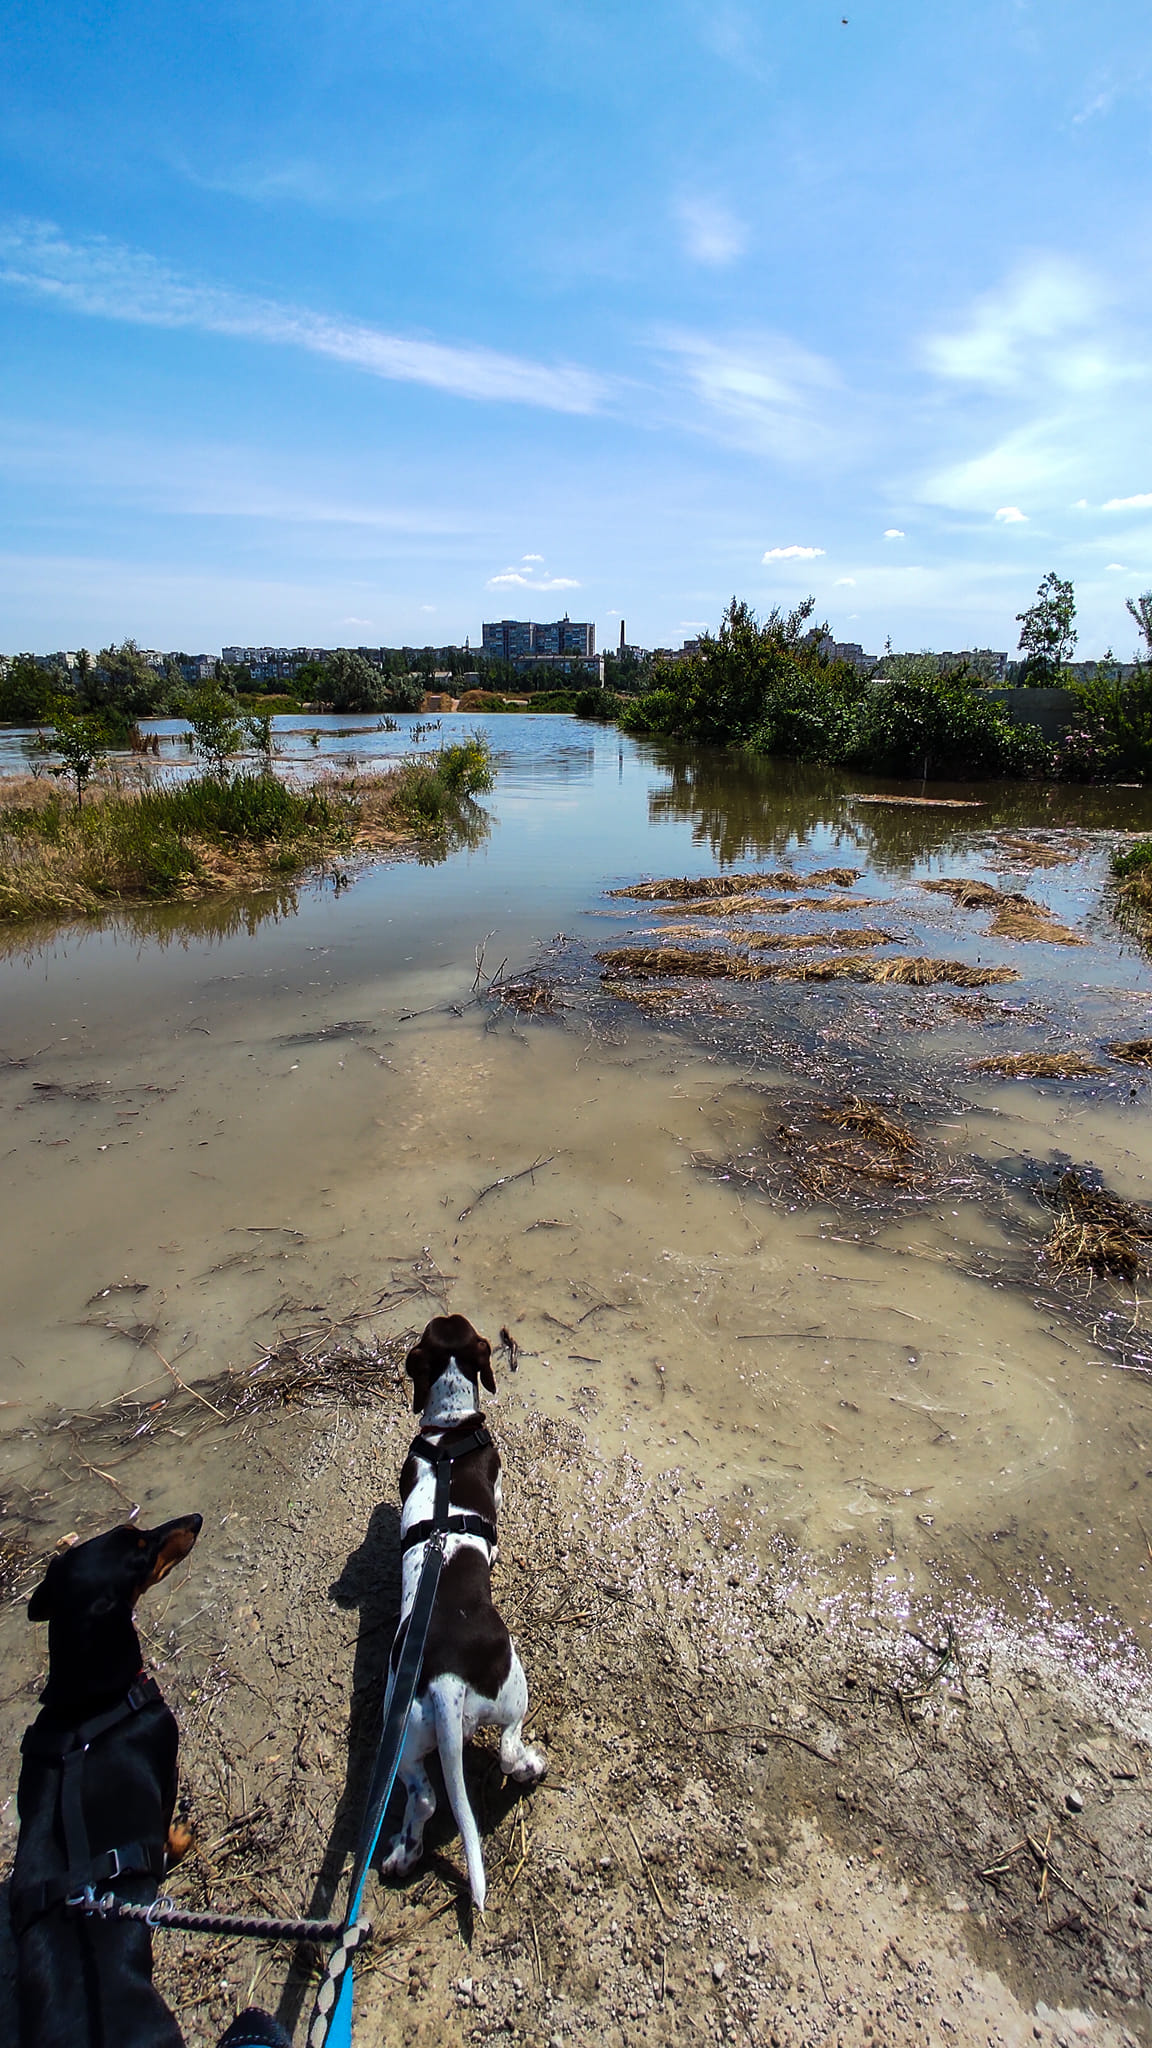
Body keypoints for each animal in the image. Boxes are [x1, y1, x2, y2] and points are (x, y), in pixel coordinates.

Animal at [375, 1318, 541, 1908]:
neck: (448, 1435)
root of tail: (446, 1681)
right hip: (514, 1692)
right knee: (511, 1750)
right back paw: (534, 1765)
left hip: (404, 1737)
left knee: (422, 1799)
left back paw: (403, 1853)